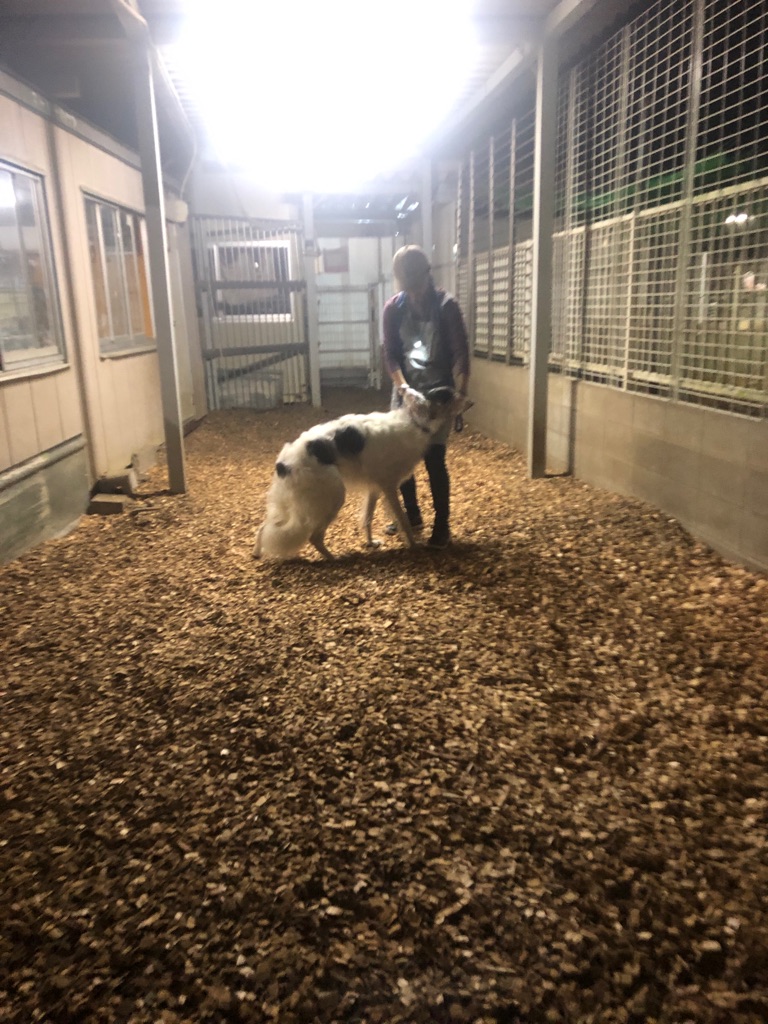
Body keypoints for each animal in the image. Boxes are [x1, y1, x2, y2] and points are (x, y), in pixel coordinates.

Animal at [254, 385, 473, 560]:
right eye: (450, 395)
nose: (471, 401)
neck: (415, 422)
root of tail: (283, 463)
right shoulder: (389, 486)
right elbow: (402, 519)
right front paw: (414, 546)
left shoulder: (374, 488)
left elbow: (367, 518)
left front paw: (370, 543)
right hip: (331, 498)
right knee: (314, 537)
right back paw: (334, 559)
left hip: (292, 503)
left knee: (265, 527)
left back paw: (257, 552)